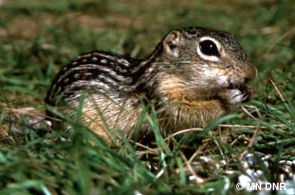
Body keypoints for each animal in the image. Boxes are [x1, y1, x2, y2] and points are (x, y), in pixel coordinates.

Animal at [45, 26, 258, 145]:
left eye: (232, 38)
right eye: (209, 47)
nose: (252, 73)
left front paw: (247, 92)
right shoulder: (161, 96)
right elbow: (188, 114)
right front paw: (229, 97)